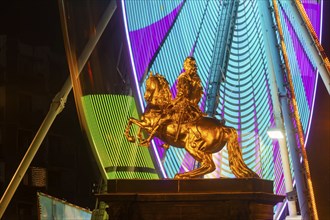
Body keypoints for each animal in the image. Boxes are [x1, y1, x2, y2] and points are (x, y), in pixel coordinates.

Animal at [125, 73, 260, 180]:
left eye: (149, 83)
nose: (146, 97)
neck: (158, 106)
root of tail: (223, 127)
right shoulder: (146, 124)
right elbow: (135, 123)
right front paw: (138, 138)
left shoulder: (149, 125)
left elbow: (133, 121)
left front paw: (133, 138)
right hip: (205, 150)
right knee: (208, 165)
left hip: (191, 146)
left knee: (209, 165)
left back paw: (182, 175)